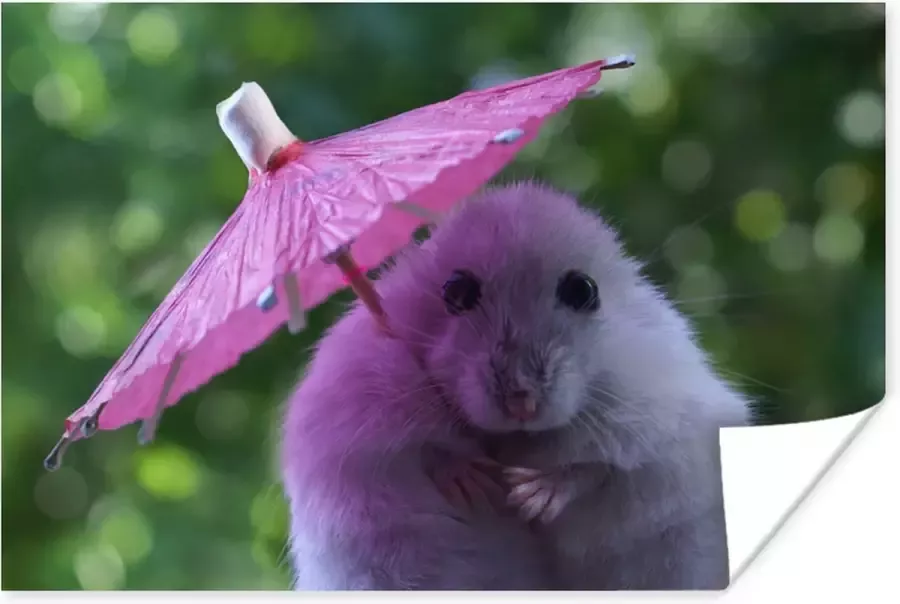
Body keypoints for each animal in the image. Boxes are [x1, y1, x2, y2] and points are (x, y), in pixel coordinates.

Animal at [405, 182, 753, 590]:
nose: (521, 404)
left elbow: (597, 468)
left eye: (583, 291)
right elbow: (430, 451)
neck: (520, 437)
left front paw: (529, 496)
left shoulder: (658, 423)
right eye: (455, 291)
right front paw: (471, 482)